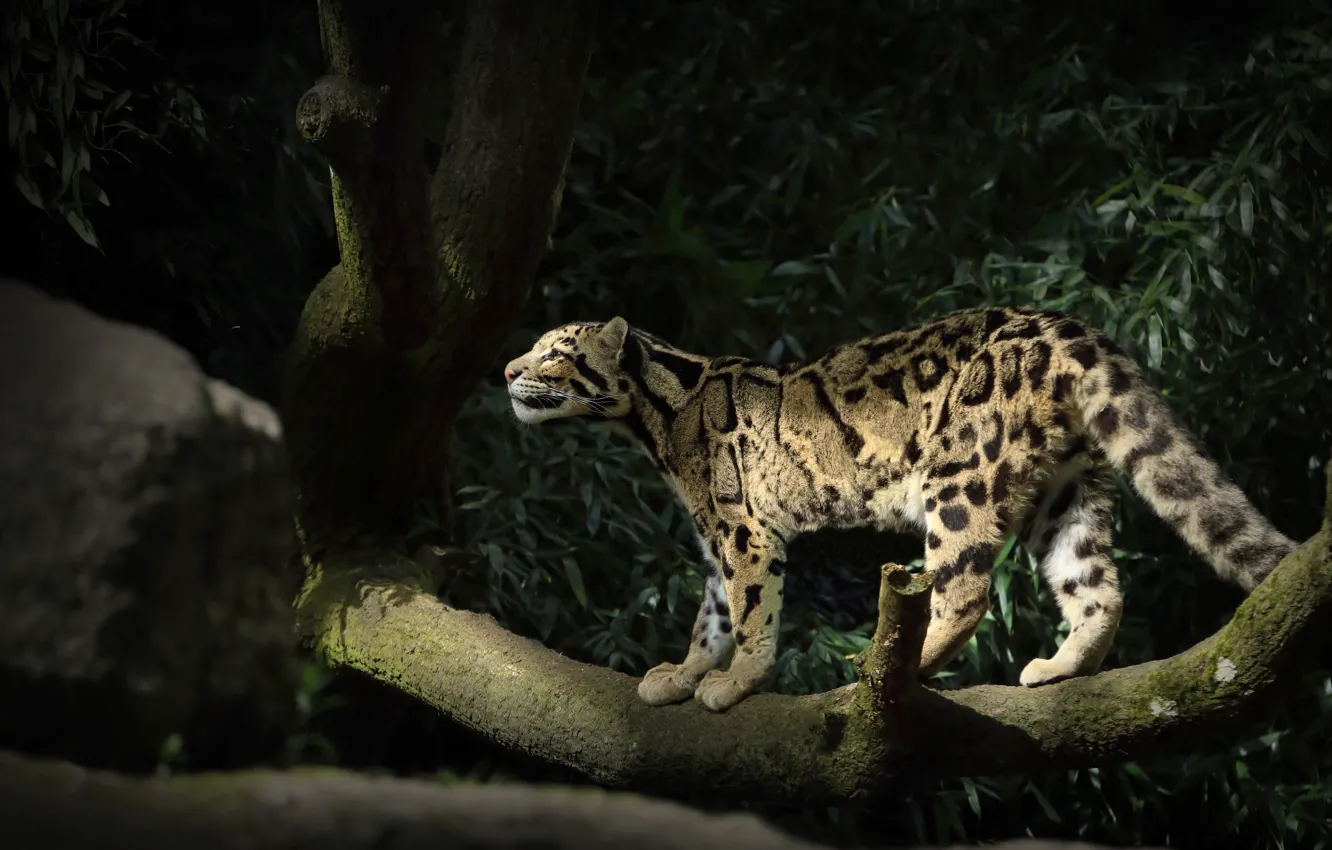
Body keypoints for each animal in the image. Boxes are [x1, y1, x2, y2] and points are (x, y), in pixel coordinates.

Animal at [501, 306, 1296, 712]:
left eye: (556, 353)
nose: (508, 369)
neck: (656, 421)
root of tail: (1061, 324)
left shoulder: (743, 531)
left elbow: (751, 613)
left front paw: (734, 682)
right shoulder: (715, 537)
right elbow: (713, 616)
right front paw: (685, 673)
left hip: (960, 482)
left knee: (966, 593)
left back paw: (888, 666)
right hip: (1066, 489)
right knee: (1098, 587)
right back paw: (1061, 667)